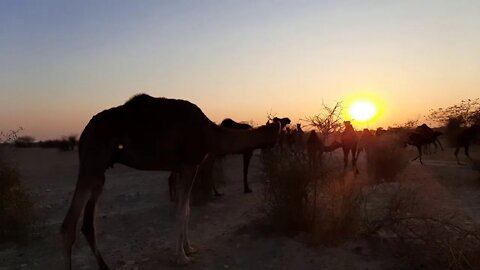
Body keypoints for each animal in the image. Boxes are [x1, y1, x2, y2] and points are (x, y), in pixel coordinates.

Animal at [60, 94, 280, 268]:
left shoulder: (183, 168)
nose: (275, 150)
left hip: (100, 172)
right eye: (279, 133)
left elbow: (188, 209)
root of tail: (84, 133)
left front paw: (189, 248)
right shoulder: (190, 165)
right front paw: (182, 257)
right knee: (68, 225)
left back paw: (105, 266)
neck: (211, 133)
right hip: (91, 163)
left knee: (87, 224)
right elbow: (182, 211)